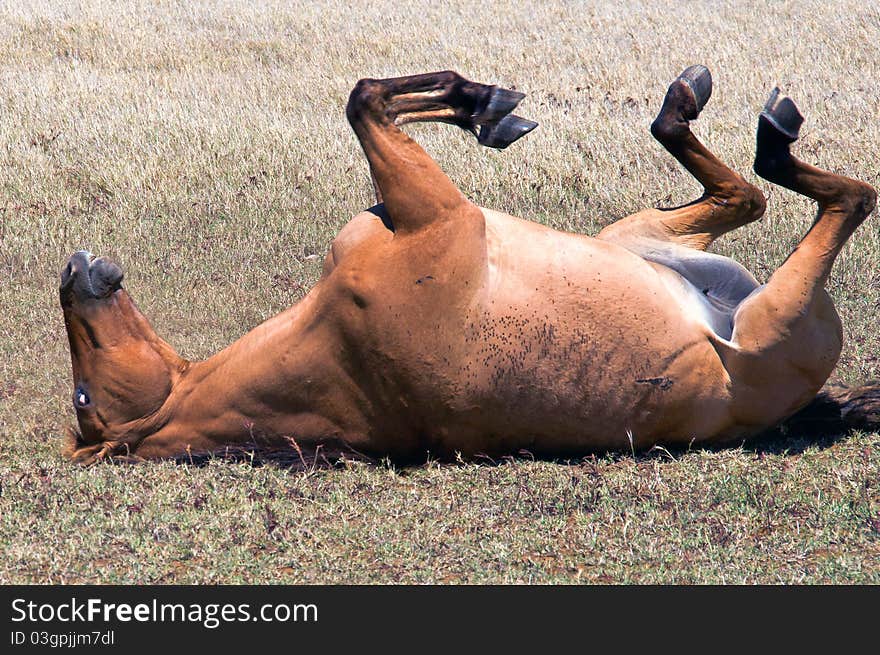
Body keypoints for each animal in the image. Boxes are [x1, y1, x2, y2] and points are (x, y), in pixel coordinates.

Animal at [58, 66, 876, 464]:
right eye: (82, 398)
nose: (73, 274)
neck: (338, 345)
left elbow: (372, 98)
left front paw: (487, 107)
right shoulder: (440, 209)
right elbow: (365, 99)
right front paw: (484, 104)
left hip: (632, 234)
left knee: (743, 193)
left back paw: (686, 102)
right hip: (779, 313)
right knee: (836, 197)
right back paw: (770, 134)